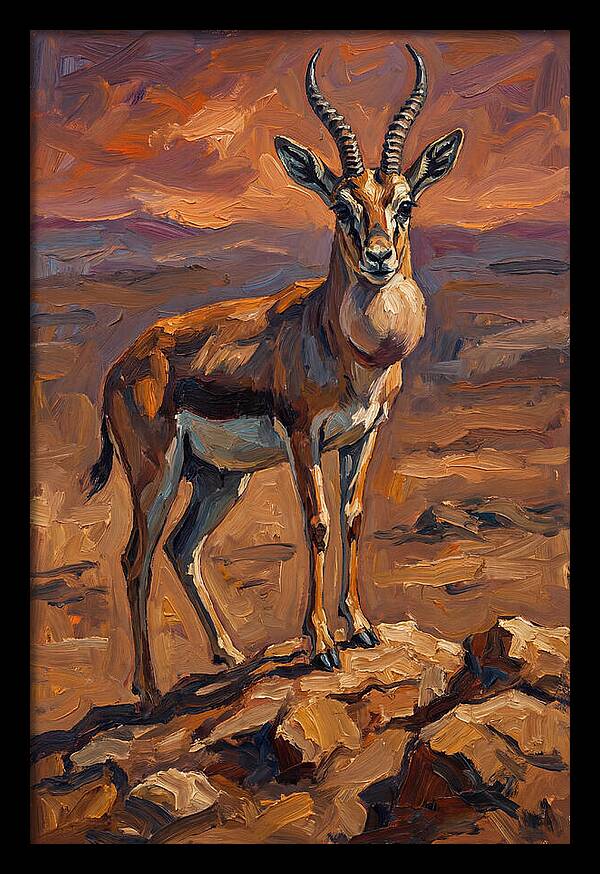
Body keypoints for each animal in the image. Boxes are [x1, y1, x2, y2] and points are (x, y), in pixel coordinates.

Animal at [84, 44, 464, 711]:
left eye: (405, 203)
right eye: (342, 205)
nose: (379, 258)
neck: (341, 345)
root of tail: (120, 365)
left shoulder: (363, 436)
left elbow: (353, 516)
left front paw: (361, 628)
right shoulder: (302, 437)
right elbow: (316, 523)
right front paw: (321, 645)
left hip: (218, 480)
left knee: (183, 547)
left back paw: (231, 655)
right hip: (157, 474)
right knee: (135, 558)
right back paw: (149, 692)